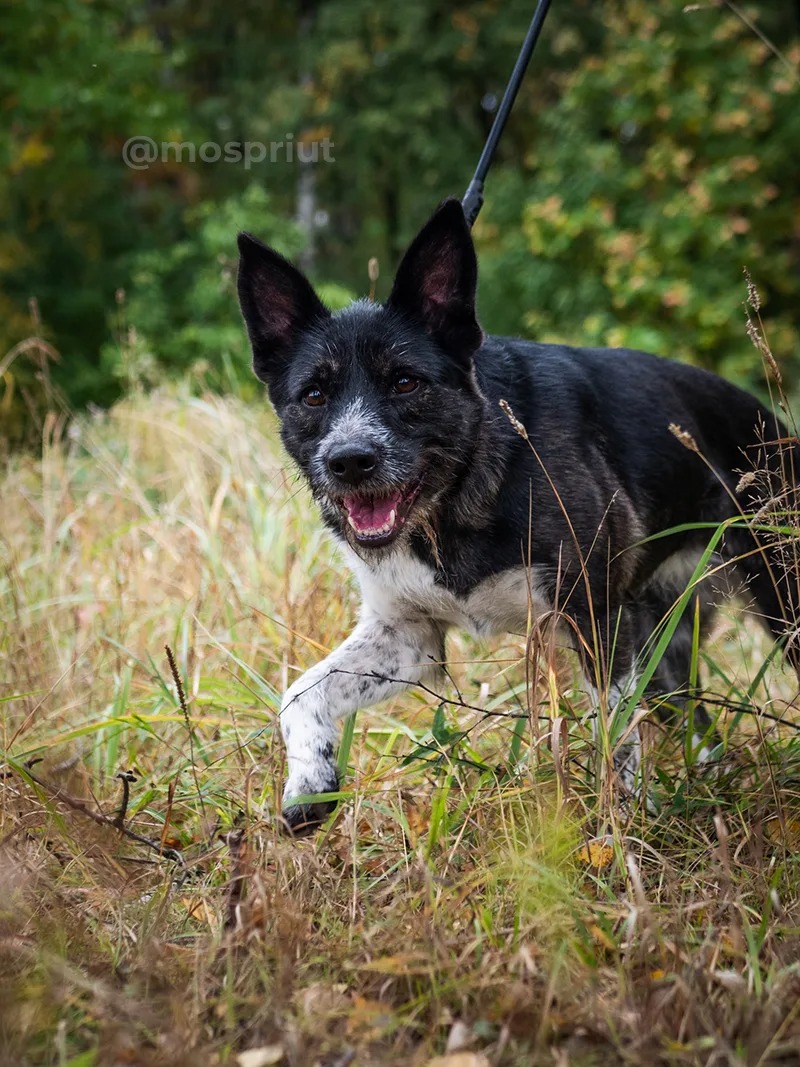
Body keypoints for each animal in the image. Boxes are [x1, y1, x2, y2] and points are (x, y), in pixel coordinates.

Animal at [234, 198, 797, 832]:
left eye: (405, 383)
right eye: (313, 395)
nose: (349, 461)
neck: (462, 491)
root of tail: (771, 422)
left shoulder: (594, 619)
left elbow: (613, 735)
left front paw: (615, 829)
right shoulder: (408, 635)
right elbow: (300, 693)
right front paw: (309, 783)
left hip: (775, 598)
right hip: (660, 643)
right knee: (700, 727)